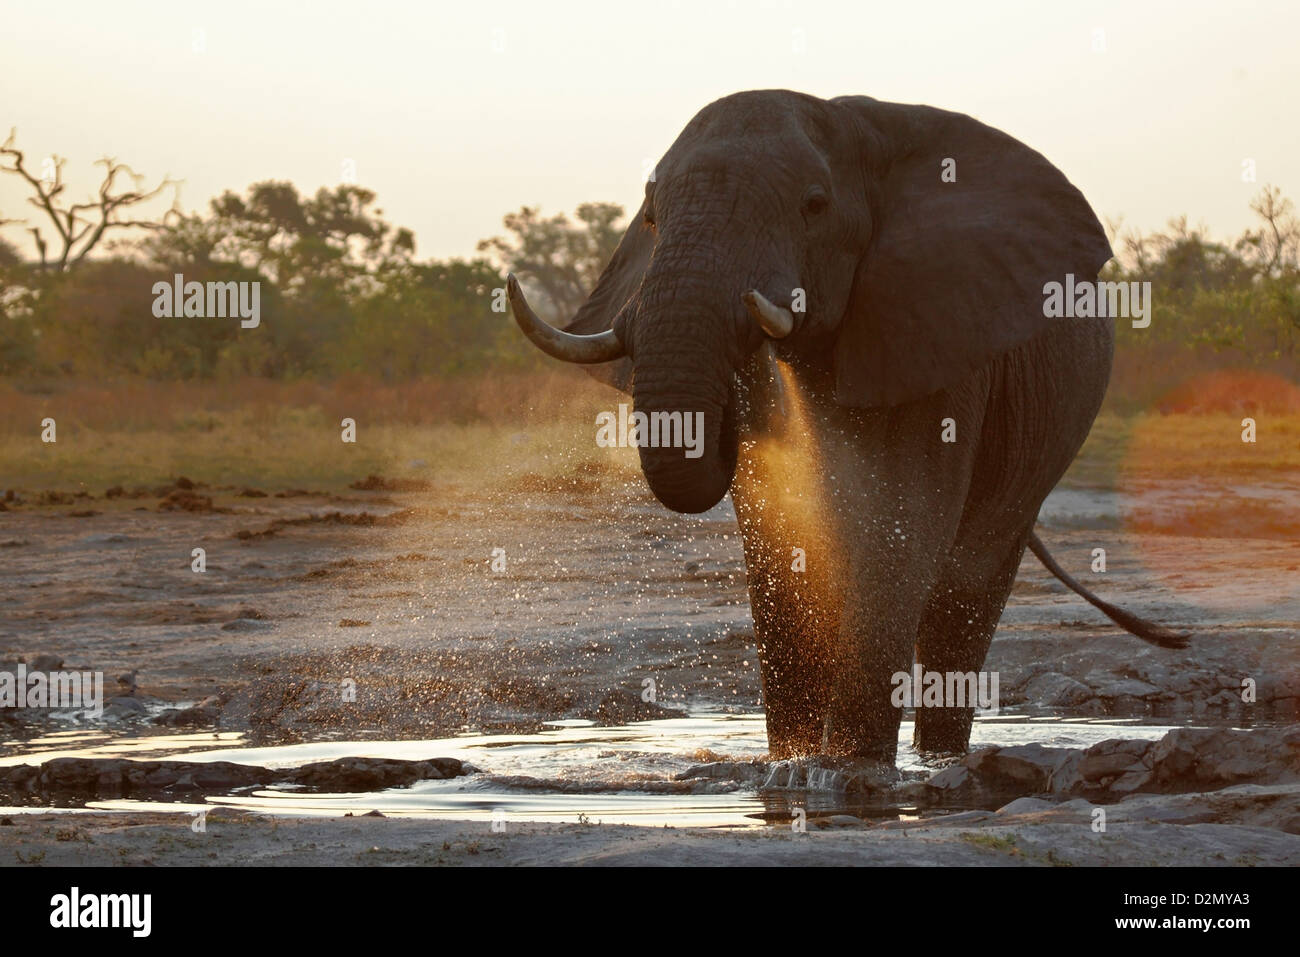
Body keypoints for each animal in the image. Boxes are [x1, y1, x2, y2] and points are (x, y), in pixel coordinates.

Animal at [508, 89, 1185, 764]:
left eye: (813, 206)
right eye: (649, 217)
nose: (725, 409)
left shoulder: (938, 329)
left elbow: (902, 521)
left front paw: (847, 768)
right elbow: (780, 537)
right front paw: (793, 764)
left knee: (966, 587)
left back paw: (939, 760)